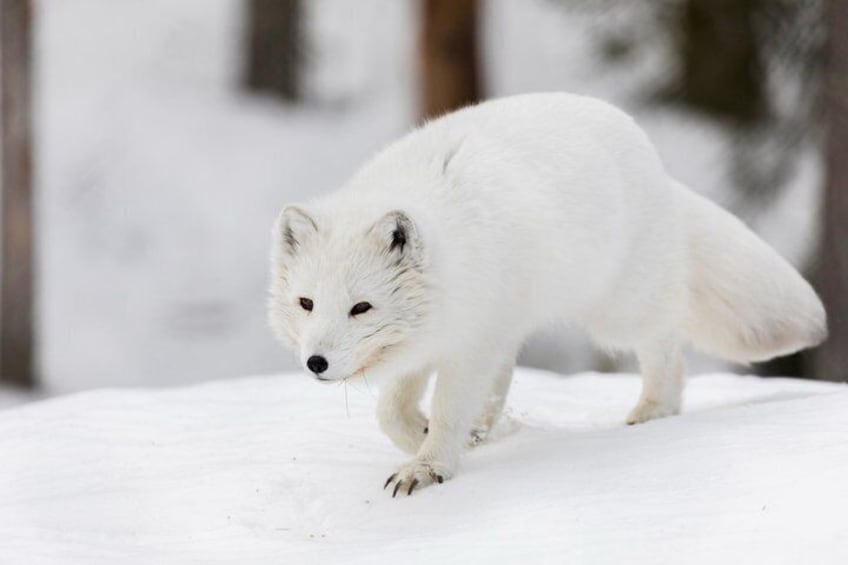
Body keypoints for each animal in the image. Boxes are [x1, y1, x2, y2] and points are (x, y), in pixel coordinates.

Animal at [268, 93, 827, 497]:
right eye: (306, 303)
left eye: (361, 307)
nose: (316, 363)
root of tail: (656, 163)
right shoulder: (433, 342)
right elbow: (391, 413)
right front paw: (431, 438)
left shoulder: (468, 343)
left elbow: (446, 410)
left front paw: (429, 466)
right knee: (504, 379)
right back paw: (490, 428)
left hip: (617, 309)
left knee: (666, 342)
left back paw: (654, 408)